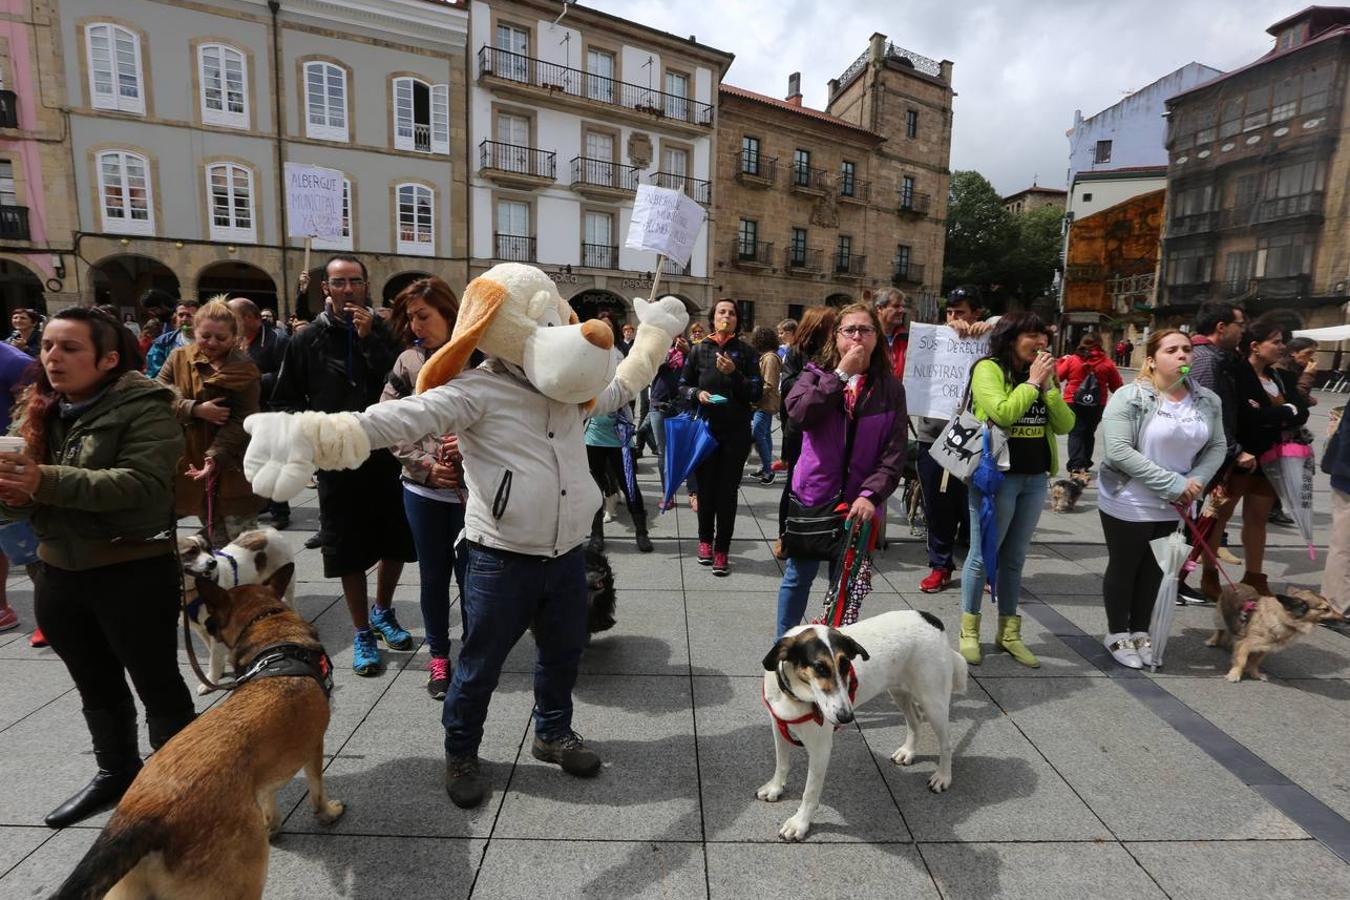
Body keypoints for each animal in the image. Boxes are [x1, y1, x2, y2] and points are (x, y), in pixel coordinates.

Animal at [54, 566, 342, 895]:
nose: (205, 624)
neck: (273, 637)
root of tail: (142, 814)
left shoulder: (266, 775)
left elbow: (270, 799)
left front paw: (273, 825)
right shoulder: (314, 747)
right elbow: (317, 791)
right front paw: (328, 814)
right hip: (238, 882)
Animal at [179, 528, 295, 696]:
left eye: (208, 549)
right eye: (191, 552)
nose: (212, 563)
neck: (192, 592)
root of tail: (267, 530)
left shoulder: (215, 627)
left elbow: (214, 658)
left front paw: (210, 681)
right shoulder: (201, 629)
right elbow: (212, 651)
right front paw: (217, 673)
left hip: (287, 582)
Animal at [761, 612, 972, 847]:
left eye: (846, 666)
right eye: (820, 668)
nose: (846, 717)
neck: (794, 696)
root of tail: (932, 619)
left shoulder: (820, 748)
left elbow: (810, 791)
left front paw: (800, 823)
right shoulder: (779, 725)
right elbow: (781, 764)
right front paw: (776, 788)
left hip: (933, 701)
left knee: (946, 743)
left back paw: (943, 777)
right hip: (898, 691)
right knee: (915, 720)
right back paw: (908, 752)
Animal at [1209, 585, 1344, 682]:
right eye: (1326, 609)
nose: (1344, 618)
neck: (1282, 619)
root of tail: (1236, 584)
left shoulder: (1263, 648)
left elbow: (1254, 662)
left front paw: (1255, 674)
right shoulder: (1245, 644)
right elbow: (1241, 661)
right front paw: (1234, 674)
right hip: (1219, 617)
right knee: (1219, 631)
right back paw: (1213, 641)